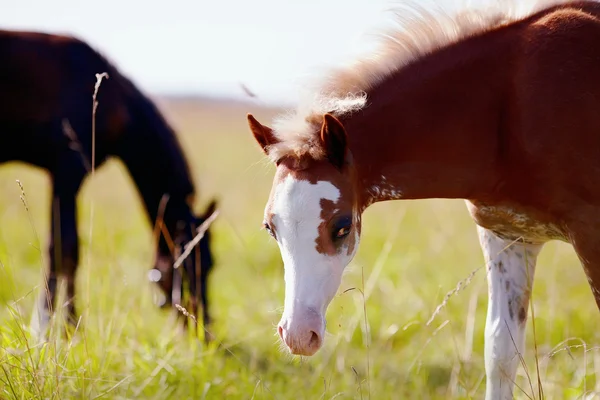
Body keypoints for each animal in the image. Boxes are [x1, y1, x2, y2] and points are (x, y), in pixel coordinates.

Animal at [1, 29, 217, 342]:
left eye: (212, 265)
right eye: (193, 265)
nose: (205, 331)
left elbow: (69, 251)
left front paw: (67, 326)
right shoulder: (67, 173)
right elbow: (63, 249)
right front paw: (49, 328)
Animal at [246, 1, 600, 398]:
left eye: (342, 227)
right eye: (270, 227)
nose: (297, 335)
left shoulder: (590, 232)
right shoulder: (509, 235)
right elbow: (500, 351)